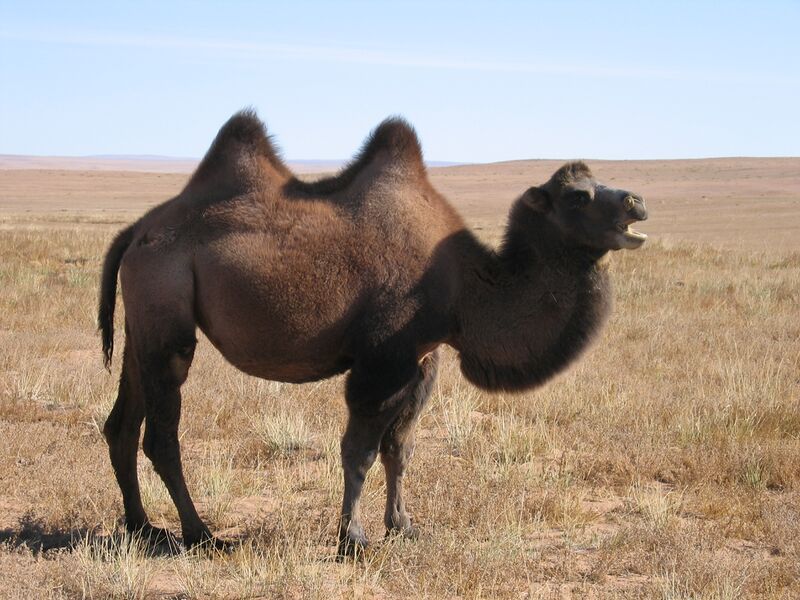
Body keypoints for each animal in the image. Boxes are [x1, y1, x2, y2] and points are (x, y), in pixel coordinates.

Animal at [98, 110, 648, 555]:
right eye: (578, 196)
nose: (636, 202)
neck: (463, 283)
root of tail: (138, 229)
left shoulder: (423, 360)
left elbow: (399, 448)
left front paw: (403, 526)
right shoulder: (382, 360)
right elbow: (359, 450)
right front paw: (353, 539)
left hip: (142, 323)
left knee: (121, 423)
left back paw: (142, 527)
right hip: (167, 312)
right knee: (162, 436)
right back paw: (200, 534)